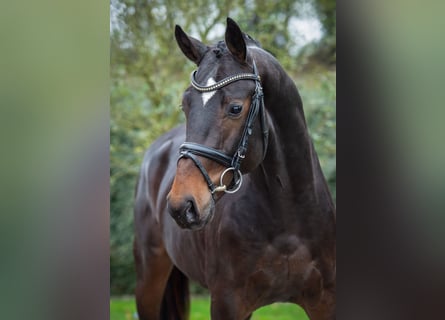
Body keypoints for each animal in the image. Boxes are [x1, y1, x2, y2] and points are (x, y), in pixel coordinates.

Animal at [134, 18, 334, 320]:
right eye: (185, 105)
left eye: (236, 108)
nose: (182, 205)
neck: (289, 214)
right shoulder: (226, 303)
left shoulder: (325, 302)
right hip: (148, 280)